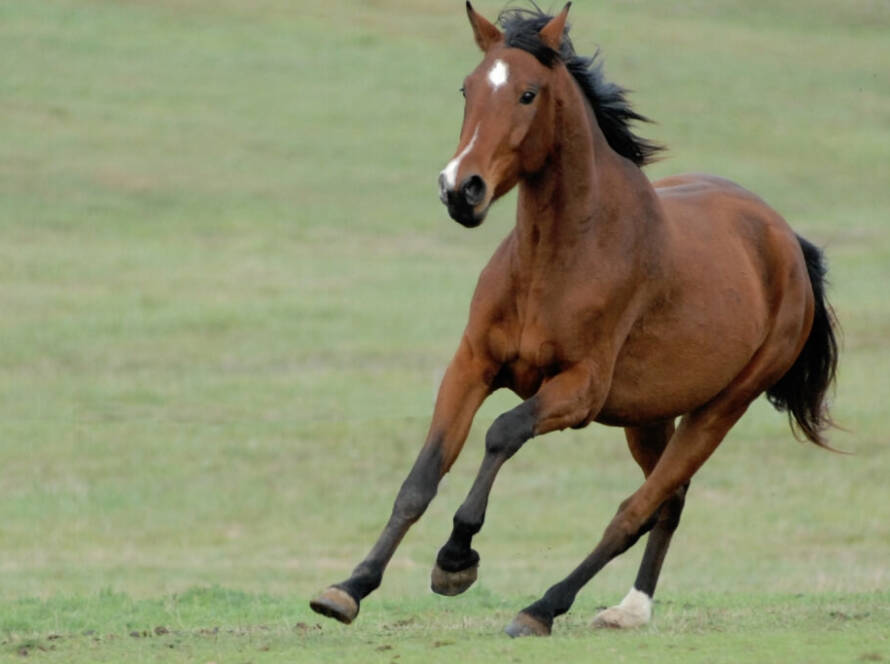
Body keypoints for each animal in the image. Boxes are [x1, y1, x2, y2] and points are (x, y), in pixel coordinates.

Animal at [308, 3, 836, 640]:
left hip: (720, 409)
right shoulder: (471, 365)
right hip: (649, 415)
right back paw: (630, 609)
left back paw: (542, 608)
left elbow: (503, 432)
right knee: (669, 500)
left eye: (528, 93)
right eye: (467, 88)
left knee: (636, 509)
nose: (461, 190)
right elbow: (421, 478)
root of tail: (787, 241)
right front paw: (349, 588)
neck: (556, 260)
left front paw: (456, 559)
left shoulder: (579, 390)